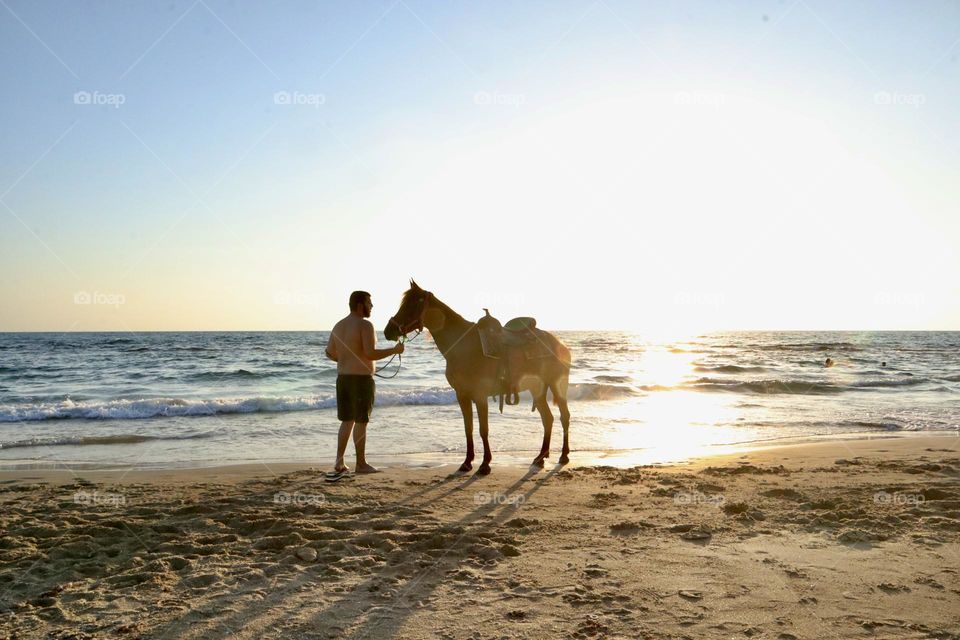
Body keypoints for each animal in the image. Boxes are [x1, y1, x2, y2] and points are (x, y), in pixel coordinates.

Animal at [384, 280, 572, 474]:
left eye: (412, 304)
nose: (388, 331)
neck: (464, 348)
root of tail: (560, 343)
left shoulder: (480, 396)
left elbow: (483, 429)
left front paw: (485, 464)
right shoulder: (462, 395)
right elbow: (469, 428)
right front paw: (467, 462)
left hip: (558, 386)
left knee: (564, 416)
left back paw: (563, 456)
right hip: (537, 390)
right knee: (548, 419)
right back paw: (540, 458)